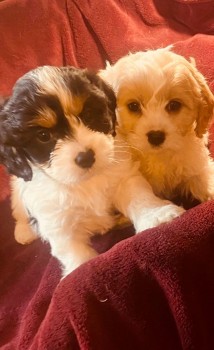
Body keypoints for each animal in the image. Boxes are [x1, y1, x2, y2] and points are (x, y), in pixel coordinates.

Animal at [0, 67, 184, 278]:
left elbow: (139, 196)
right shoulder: (57, 219)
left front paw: (156, 216)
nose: (86, 157)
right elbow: (72, 249)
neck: (85, 181)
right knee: (19, 209)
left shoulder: (123, 176)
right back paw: (24, 232)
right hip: (18, 190)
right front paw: (80, 268)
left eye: (87, 115)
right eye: (43, 136)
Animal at [100, 46, 214, 205]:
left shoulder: (196, 165)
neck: (158, 156)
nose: (155, 136)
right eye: (133, 106)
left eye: (174, 105)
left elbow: (205, 178)